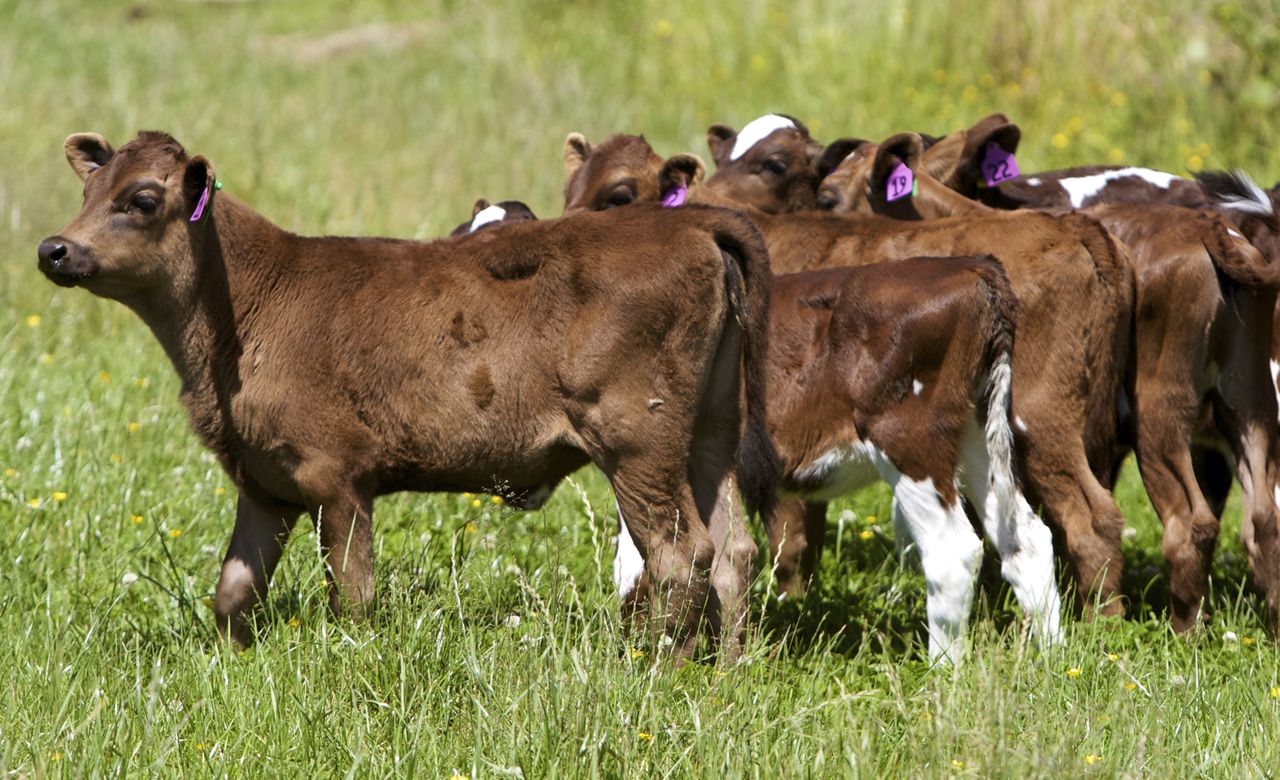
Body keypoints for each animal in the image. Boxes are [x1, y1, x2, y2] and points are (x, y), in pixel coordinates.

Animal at [40, 130, 773, 653]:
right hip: (709, 430)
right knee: (733, 548)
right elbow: (234, 591)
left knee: (680, 553)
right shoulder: (265, 481)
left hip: (636, 438)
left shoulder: (335, 476)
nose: (54, 248)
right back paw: (724, 670)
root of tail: (690, 224)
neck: (248, 303)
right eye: (87, 191)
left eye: (141, 200)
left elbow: (354, 594)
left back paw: (655, 668)